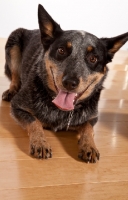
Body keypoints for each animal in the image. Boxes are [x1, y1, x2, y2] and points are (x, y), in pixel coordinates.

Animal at [2, 4, 128, 162]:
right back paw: (12, 90)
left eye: (93, 58)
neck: (60, 111)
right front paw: (40, 142)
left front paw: (89, 146)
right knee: (14, 76)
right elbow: (34, 122)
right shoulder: (18, 107)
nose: (70, 82)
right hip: (13, 40)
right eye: (61, 50)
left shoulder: (93, 117)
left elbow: (88, 128)